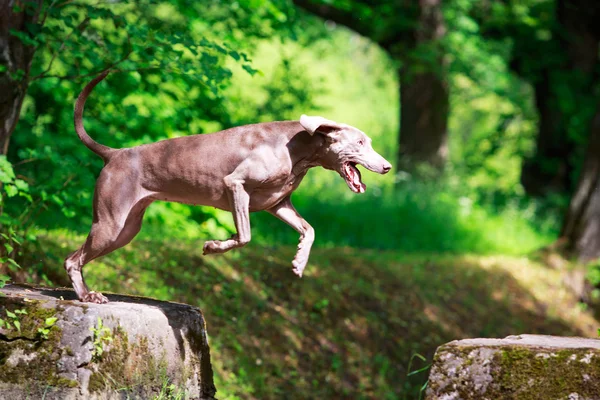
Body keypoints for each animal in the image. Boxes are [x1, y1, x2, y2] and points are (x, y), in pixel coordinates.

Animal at [65, 72, 392, 304]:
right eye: (360, 143)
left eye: (369, 142)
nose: (387, 166)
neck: (301, 149)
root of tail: (115, 153)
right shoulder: (235, 184)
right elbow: (245, 236)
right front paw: (214, 246)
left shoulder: (278, 204)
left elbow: (308, 229)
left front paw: (300, 260)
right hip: (110, 223)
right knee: (72, 260)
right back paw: (86, 295)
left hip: (127, 229)